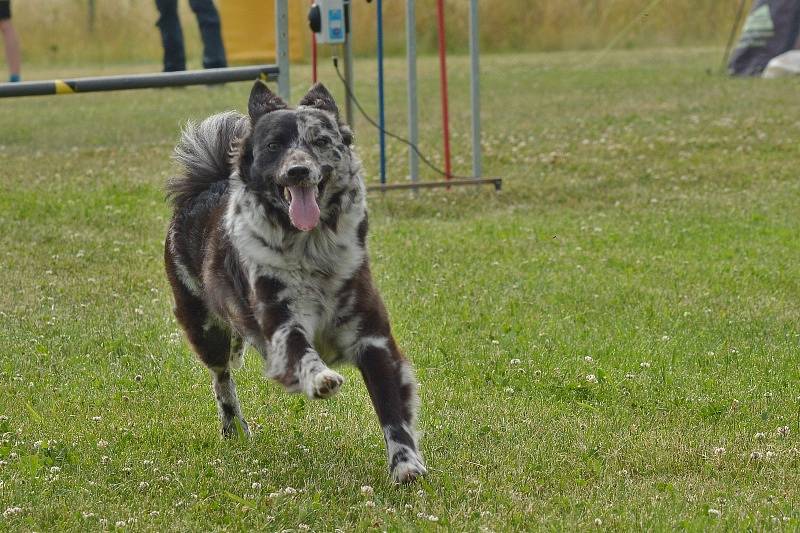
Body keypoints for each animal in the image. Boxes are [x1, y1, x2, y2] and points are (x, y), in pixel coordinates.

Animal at [165, 80, 428, 482]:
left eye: (321, 140)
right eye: (274, 145)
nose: (299, 171)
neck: (311, 249)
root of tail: (206, 185)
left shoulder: (372, 337)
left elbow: (391, 407)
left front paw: (405, 464)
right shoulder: (280, 322)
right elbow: (301, 352)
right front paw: (320, 378)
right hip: (205, 329)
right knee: (222, 378)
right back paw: (233, 426)